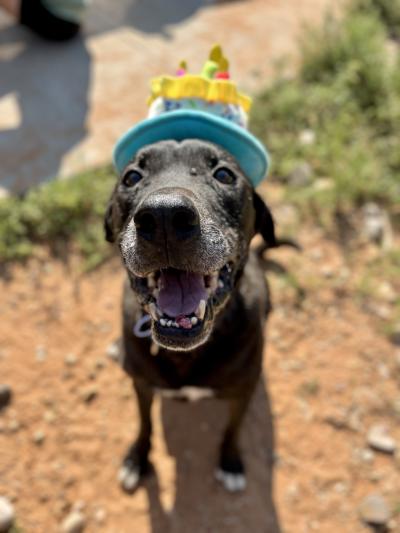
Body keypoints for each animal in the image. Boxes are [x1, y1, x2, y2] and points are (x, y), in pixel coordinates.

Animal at [104, 137, 282, 490]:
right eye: (132, 177)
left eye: (224, 174)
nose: (164, 217)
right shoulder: (141, 384)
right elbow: (144, 423)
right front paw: (136, 458)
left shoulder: (242, 391)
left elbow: (233, 428)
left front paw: (230, 462)